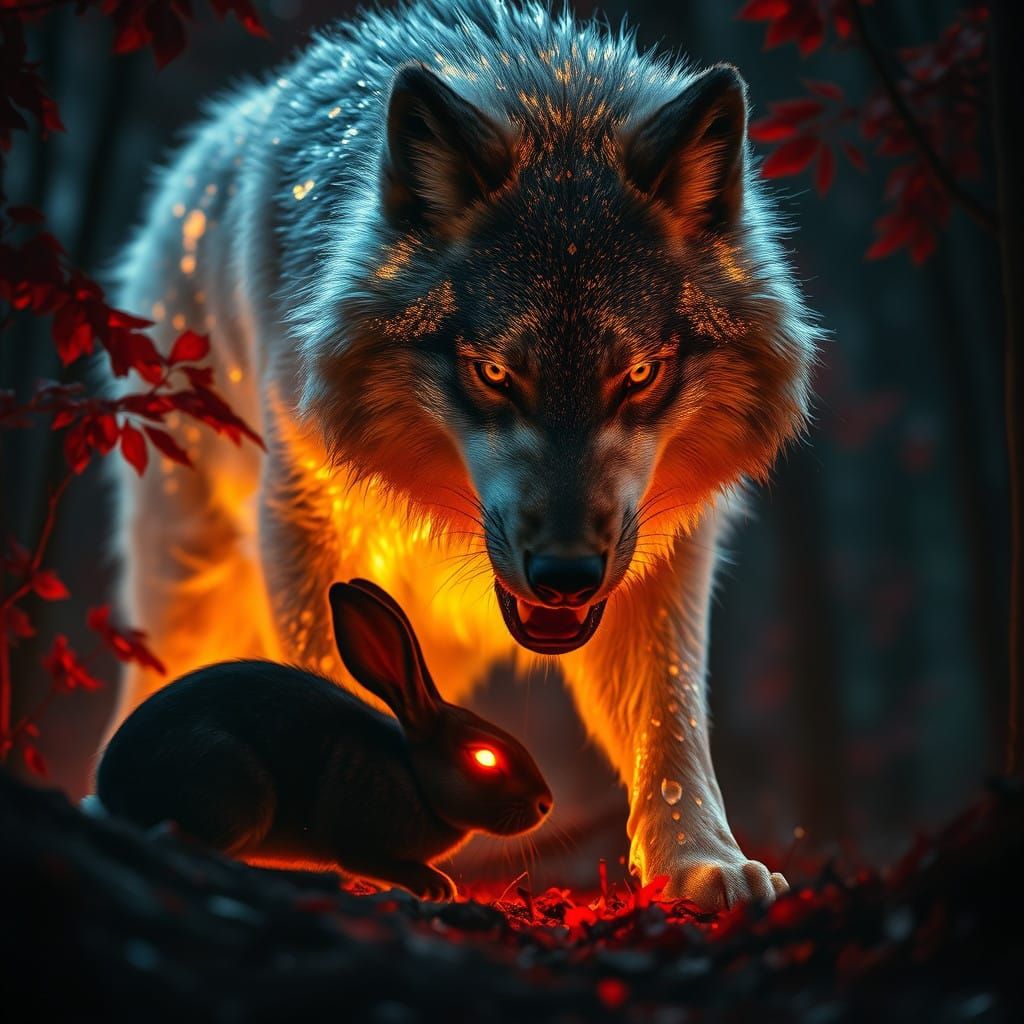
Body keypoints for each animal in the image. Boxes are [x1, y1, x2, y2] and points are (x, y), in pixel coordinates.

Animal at [111, 0, 818, 908]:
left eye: (638, 375)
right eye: (494, 373)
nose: (565, 575)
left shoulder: (670, 551)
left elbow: (671, 718)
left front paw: (704, 864)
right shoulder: (303, 518)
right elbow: (323, 678)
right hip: (184, 582)